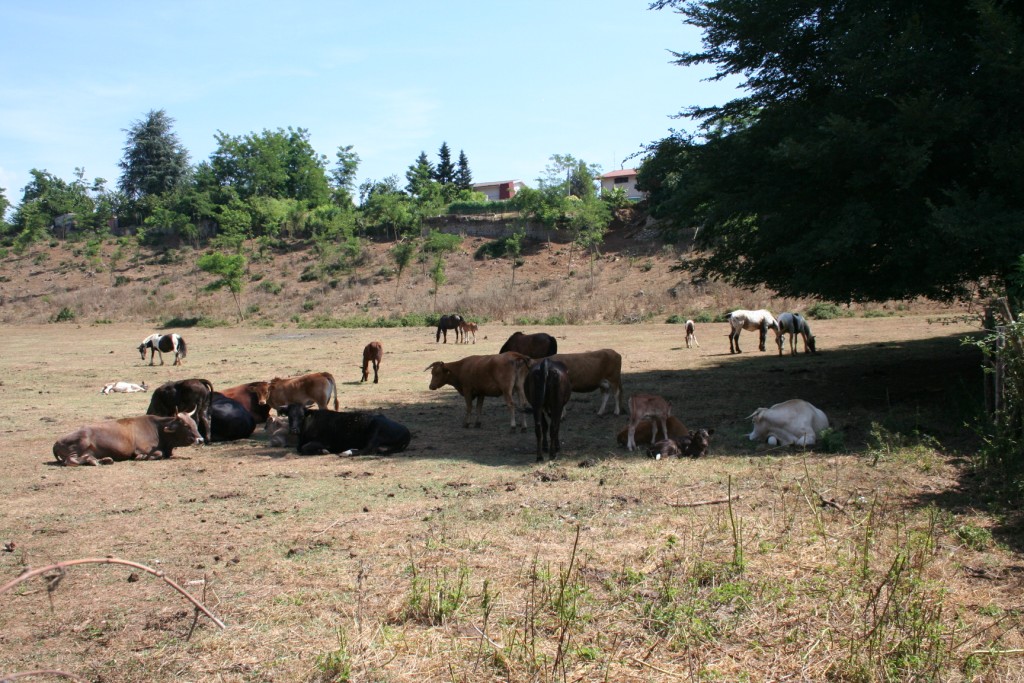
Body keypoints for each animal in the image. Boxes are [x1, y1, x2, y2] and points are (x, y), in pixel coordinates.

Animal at [52, 409, 203, 466]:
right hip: (80, 443)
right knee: (70, 460)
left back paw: (102, 460)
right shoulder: (143, 449)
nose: (200, 439)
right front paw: (141, 457)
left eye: (194, 424)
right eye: (186, 425)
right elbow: (157, 454)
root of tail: (56, 442)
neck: (158, 429)